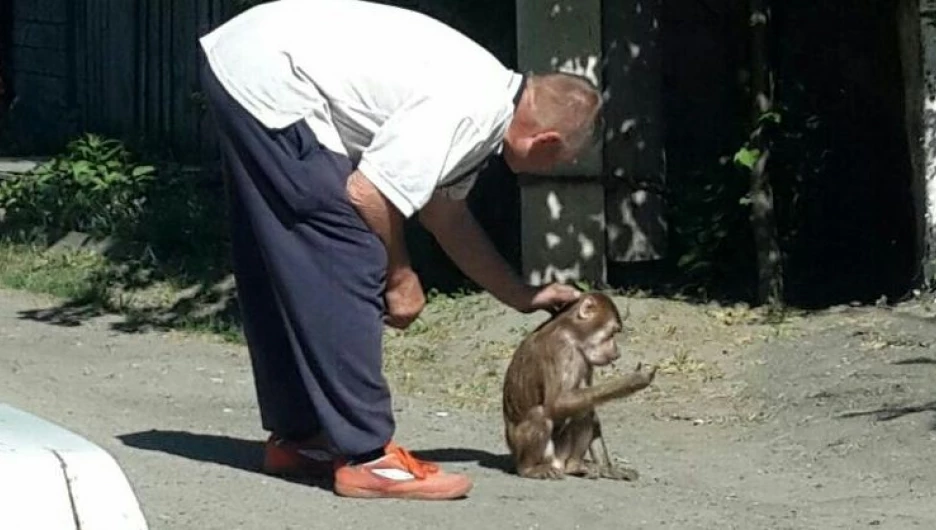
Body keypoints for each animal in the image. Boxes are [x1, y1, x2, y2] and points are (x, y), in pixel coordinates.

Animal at [500, 288, 656, 478]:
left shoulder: (586, 358)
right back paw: (529, 468)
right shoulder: (562, 349)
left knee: (584, 409)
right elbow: (557, 402)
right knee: (540, 413)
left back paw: (574, 466)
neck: (571, 331)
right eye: (612, 333)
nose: (616, 353)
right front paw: (633, 381)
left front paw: (609, 468)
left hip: (561, 453)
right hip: (541, 453)